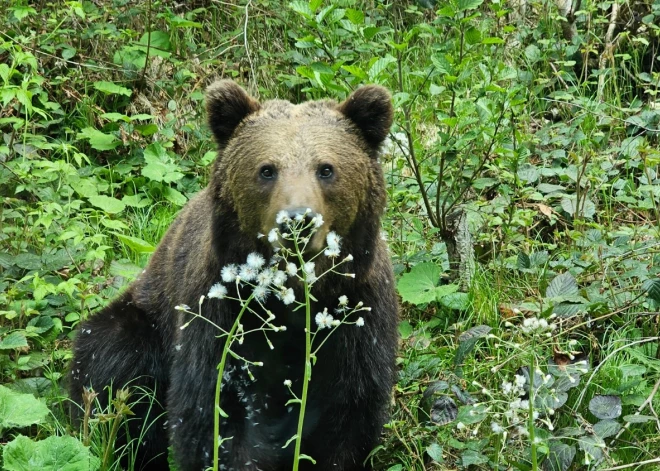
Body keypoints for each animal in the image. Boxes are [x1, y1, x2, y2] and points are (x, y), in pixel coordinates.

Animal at [69, 82, 398, 471]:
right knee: (111, 368)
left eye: (326, 168)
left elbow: (348, 417)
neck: (292, 296)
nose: (297, 221)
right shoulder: (221, 313)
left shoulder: (356, 315)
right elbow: (214, 414)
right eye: (267, 169)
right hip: (145, 319)